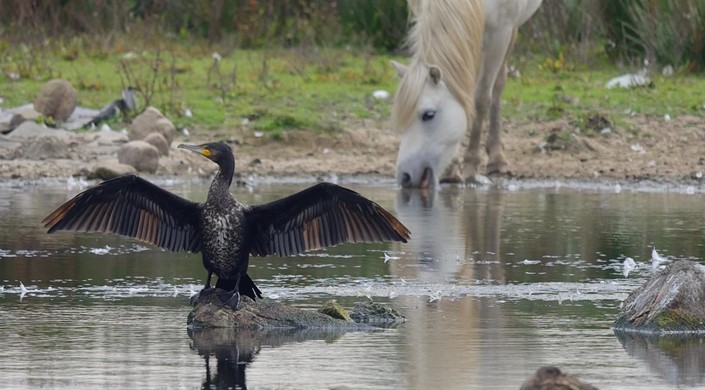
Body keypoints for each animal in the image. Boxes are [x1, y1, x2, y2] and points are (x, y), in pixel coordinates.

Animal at [394, 0, 540, 189]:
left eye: (428, 115)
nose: (405, 176)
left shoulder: (501, 31)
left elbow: (481, 98)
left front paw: (471, 166)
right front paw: (451, 170)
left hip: (511, 30)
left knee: (499, 82)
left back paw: (497, 159)